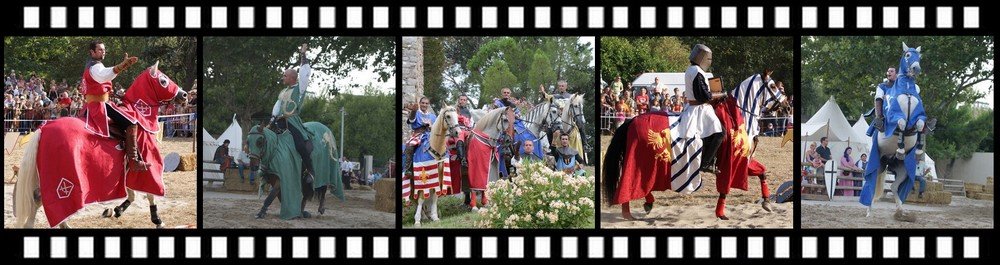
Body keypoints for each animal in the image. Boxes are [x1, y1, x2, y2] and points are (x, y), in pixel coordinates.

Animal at [856, 42, 932, 221]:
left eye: (919, 56)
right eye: (907, 55)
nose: (916, 69)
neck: (907, 89)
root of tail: (888, 161)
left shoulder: (919, 116)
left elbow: (919, 125)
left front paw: (918, 149)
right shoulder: (895, 116)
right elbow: (901, 123)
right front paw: (901, 148)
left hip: (903, 171)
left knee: (895, 188)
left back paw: (901, 211)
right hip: (877, 165)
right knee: (871, 185)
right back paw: (869, 211)